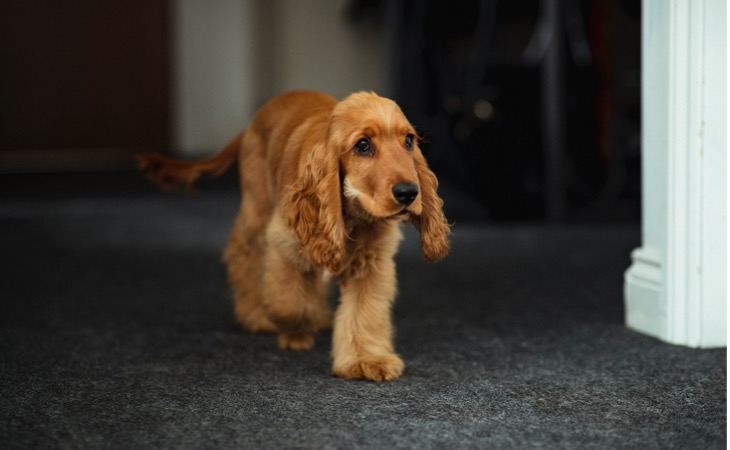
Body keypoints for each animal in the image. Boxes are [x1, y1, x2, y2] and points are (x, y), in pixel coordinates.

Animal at [134, 90, 446, 380]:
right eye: (363, 145)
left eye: (409, 141)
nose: (408, 193)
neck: (352, 215)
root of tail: (253, 121)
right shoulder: (285, 241)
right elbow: (289, 303)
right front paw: (296, 330)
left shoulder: (370, 263)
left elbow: (364, 312)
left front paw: (366, 360)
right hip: (257, 207)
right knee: (244, 254)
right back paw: (256, 315)